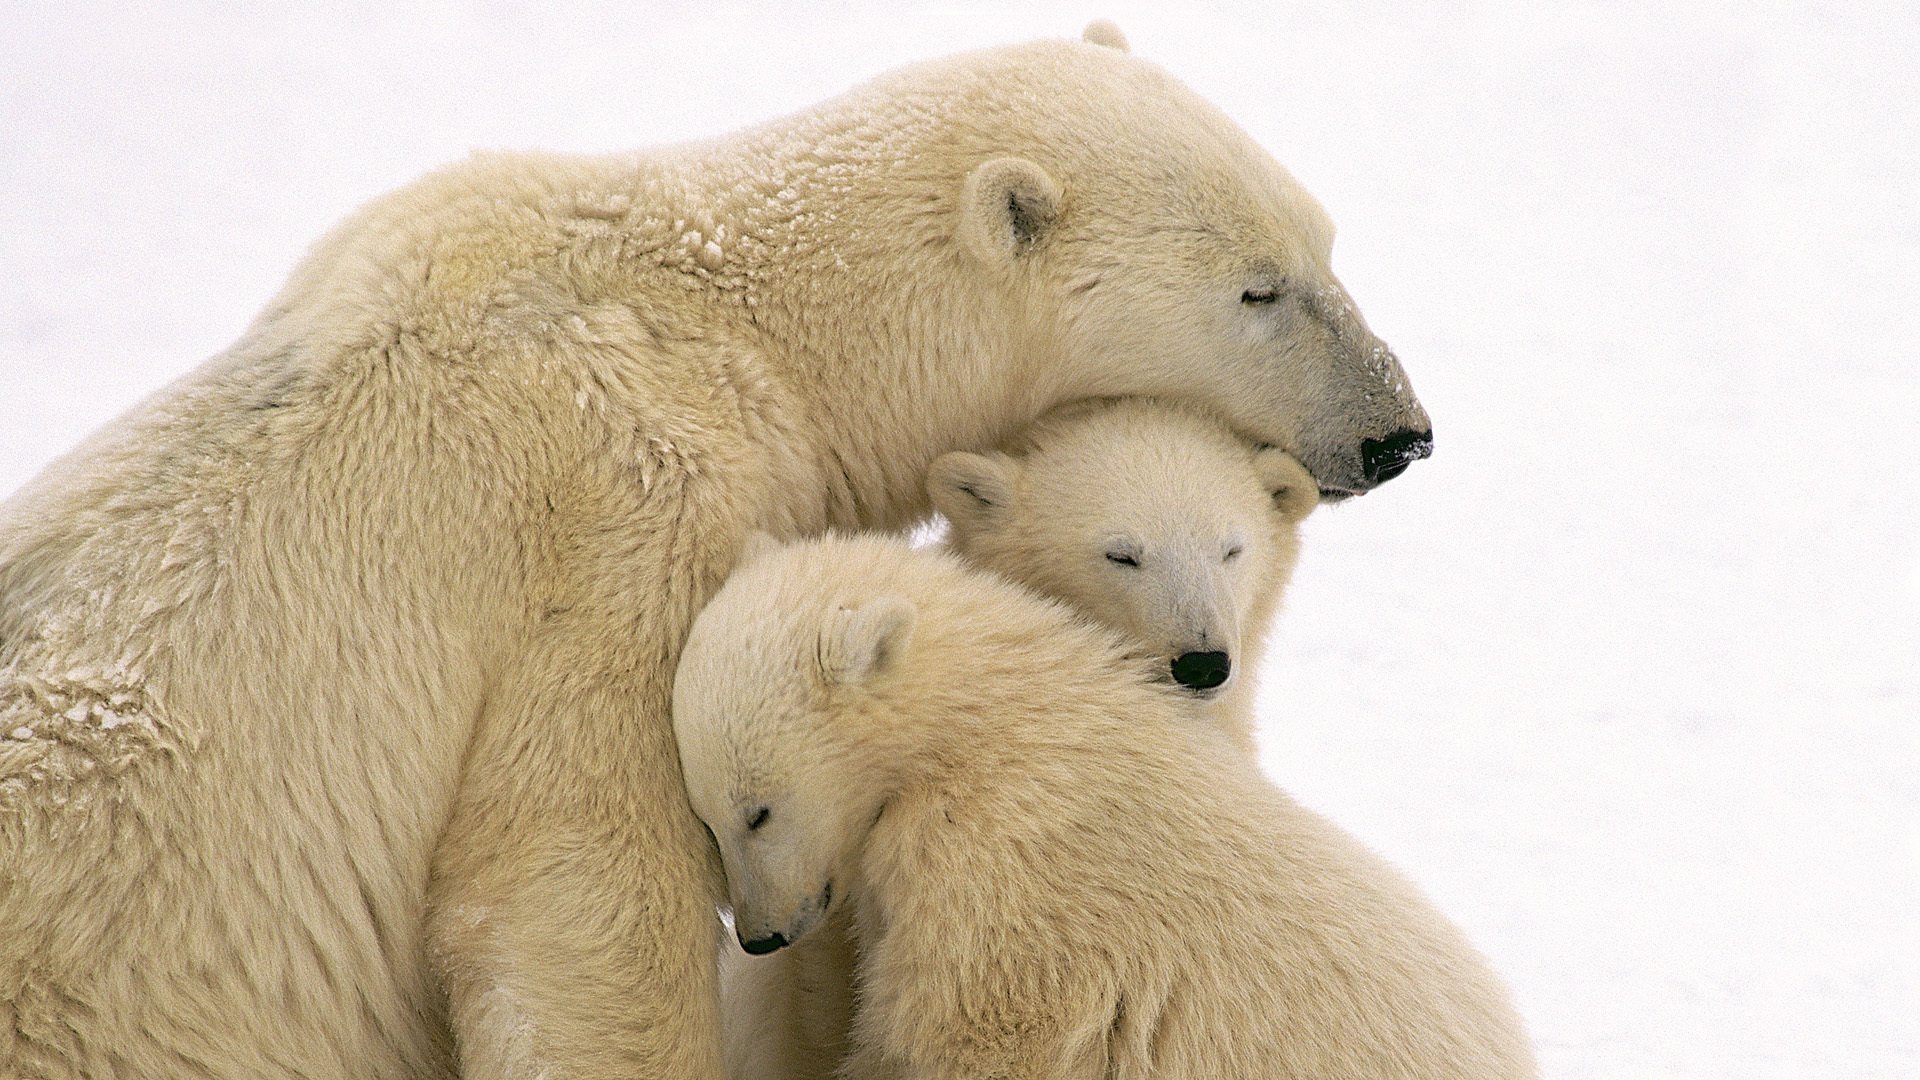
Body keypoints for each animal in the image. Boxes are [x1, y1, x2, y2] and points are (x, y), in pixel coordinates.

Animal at [676, 532, 1536, 1080]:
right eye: (706, 820)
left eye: (757, 811)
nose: (759, 936)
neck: (982, 729)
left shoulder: (1007, 883)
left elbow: (971, 1035)